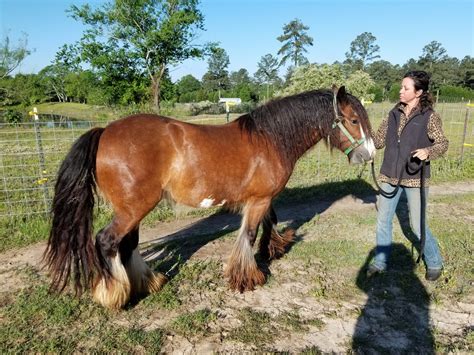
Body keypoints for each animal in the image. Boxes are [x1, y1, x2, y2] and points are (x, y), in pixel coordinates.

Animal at [45, 85, 378, 308]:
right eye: (353, 120)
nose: (370, 154)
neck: (270, 139)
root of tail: (104, 132)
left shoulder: (263, 198)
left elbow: (270, 222)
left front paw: (273, 249)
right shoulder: (259, 199)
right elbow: (250, 233)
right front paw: (247, 277)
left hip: (133, 209)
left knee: (127, 244)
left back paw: (148, 283)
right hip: (133, 209)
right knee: (108, 241)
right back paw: (114, 295)